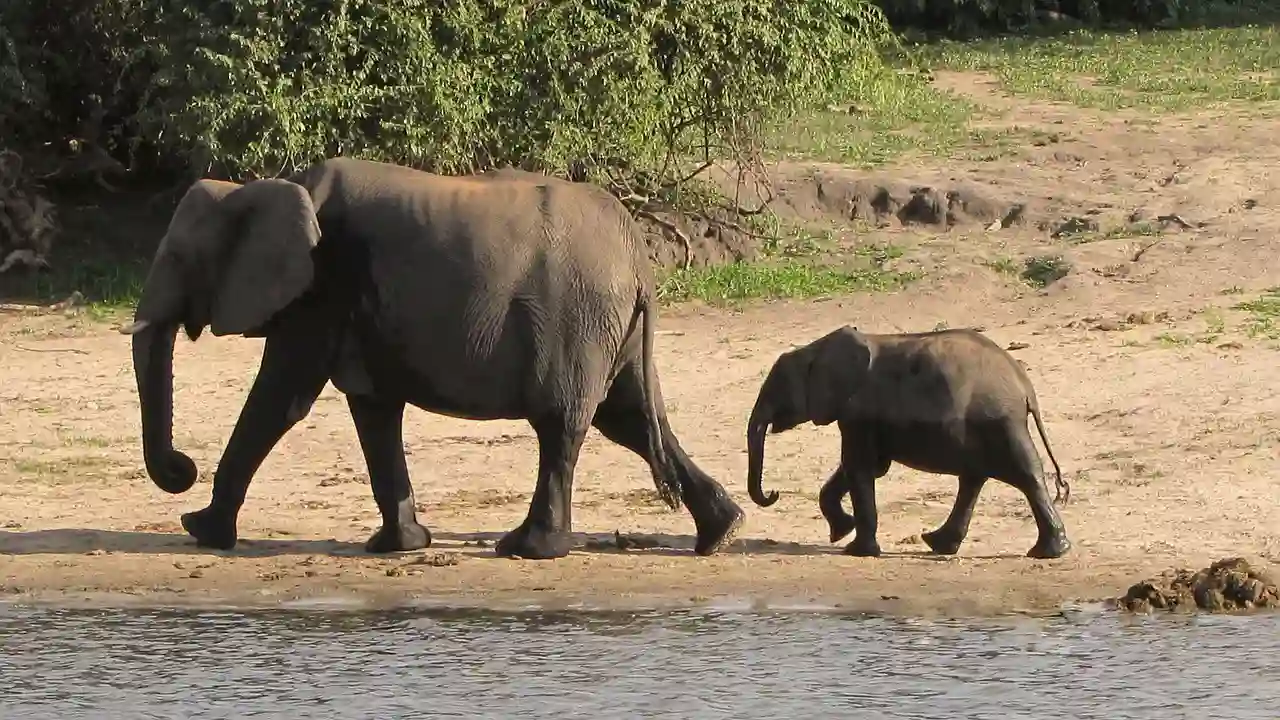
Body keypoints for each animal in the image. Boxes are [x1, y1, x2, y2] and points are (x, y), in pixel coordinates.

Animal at [124, 156, 747, 561]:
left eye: (177, 258)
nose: (182, 468)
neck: (257, 188)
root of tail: (639, 258)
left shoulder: (320, 288)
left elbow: (281, 398)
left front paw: (200, 531)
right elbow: (373, 410)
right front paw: (395, 547)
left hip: (578, 318)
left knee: (562, 424)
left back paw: (528, 550)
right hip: (611, 325)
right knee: (631, 418)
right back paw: (721, 534)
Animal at [747, 322, 1075, 558]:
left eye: (777, 388)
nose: (774, 492)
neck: (816, 349)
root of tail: (1026, 388)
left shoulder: (858, 411)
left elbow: (858, 466)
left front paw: (856, 551)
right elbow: (868, 466)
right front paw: (842, 532)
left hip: (999, 422)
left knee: (1024, 475)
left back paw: (1047, 553)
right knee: (975, 479)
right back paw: (938, 544)